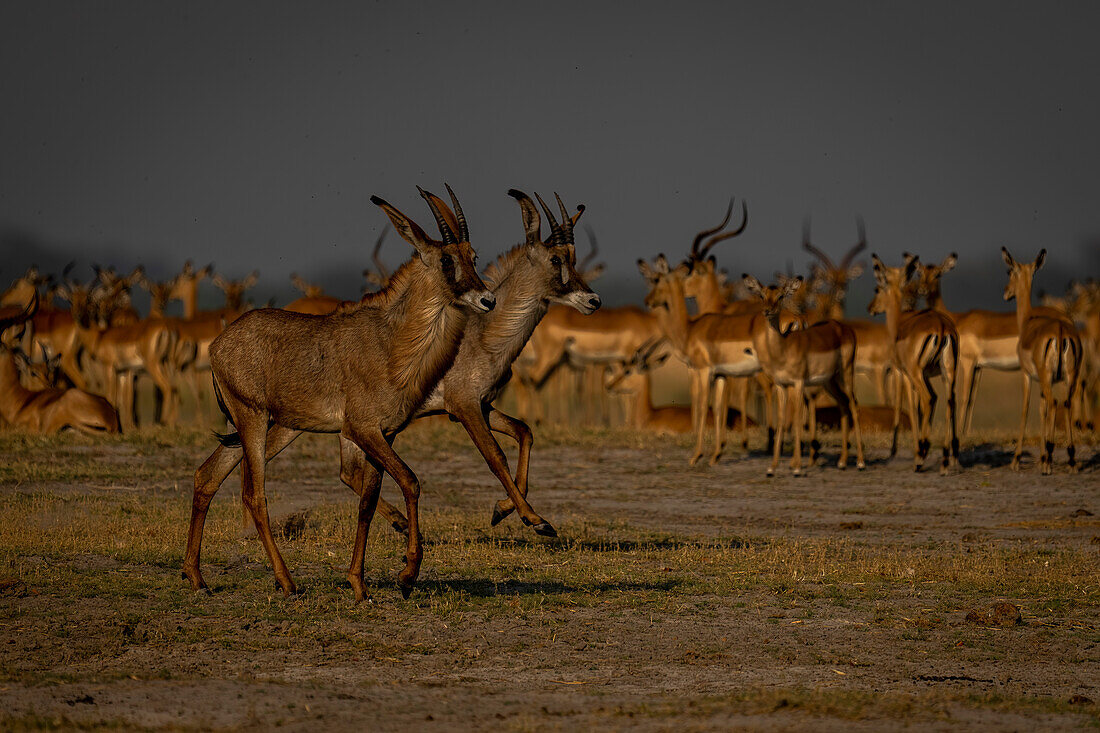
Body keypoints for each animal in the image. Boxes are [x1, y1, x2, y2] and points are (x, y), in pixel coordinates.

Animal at [182, 183, 497, 598]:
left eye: (473, 256)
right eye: (446, 259)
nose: (488, 299)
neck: (392, 341)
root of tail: (219, 342)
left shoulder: (382, 435)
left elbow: (368, 500)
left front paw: (359, 583)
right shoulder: (363, 430)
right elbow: (410, 482)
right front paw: (407, 574)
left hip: (274, 428)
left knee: (208, 476)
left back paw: (196, 576)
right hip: (253, 419)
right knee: (254, 493)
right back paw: (287, 581)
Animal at [998, 246, 1082, 473]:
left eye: (1010, 271)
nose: (1006, 292)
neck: (1028, 320)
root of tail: (1061, 331)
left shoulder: (1027, 375)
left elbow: (1026, 409)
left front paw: (1016, 460)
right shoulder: (1048, 381)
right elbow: (1042, 410)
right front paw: (1044, 456)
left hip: (1047, 377)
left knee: (1054, 403)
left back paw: (1050, 461)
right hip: (1069, 377)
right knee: (1066, 403)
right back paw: (1071, 459)